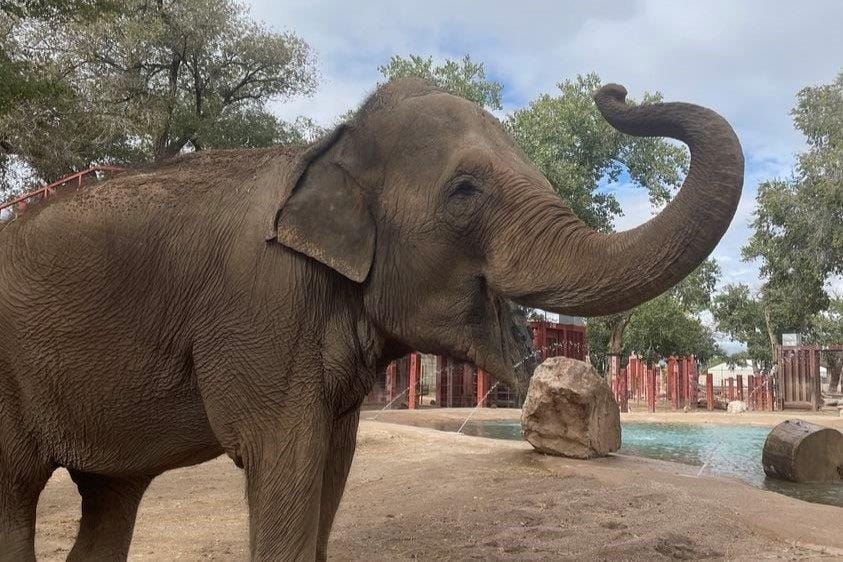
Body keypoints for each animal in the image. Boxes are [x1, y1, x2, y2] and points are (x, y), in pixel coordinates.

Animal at [0, 77, 743, 560]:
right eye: (465, 191)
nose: (613, 93)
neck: (326, 151)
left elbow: (331, 466)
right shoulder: (260, 311)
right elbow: (285, 462)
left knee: (110, 497)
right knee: (16, 492)